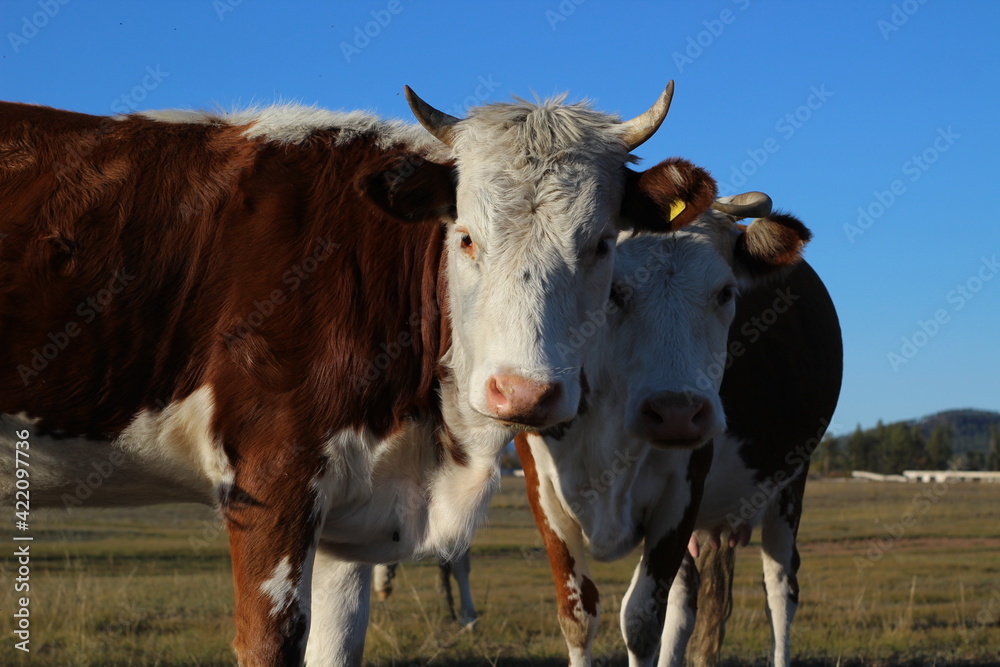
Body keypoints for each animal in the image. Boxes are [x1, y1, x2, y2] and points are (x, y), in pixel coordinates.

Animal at [0, 82, 728, 664]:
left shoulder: (346, 516)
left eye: (602, 244)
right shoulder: (272, 483)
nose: (524, 392)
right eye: (465, 236)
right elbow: (270, 642)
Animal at [512, 174, 840, 667]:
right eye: (613, 290)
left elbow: (641, 620)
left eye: (726, 292)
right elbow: (579, 617)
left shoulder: (681, 494)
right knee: (687, 602)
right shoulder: (544, 494)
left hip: (790, 480)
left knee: (781, 589)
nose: (677, 413)